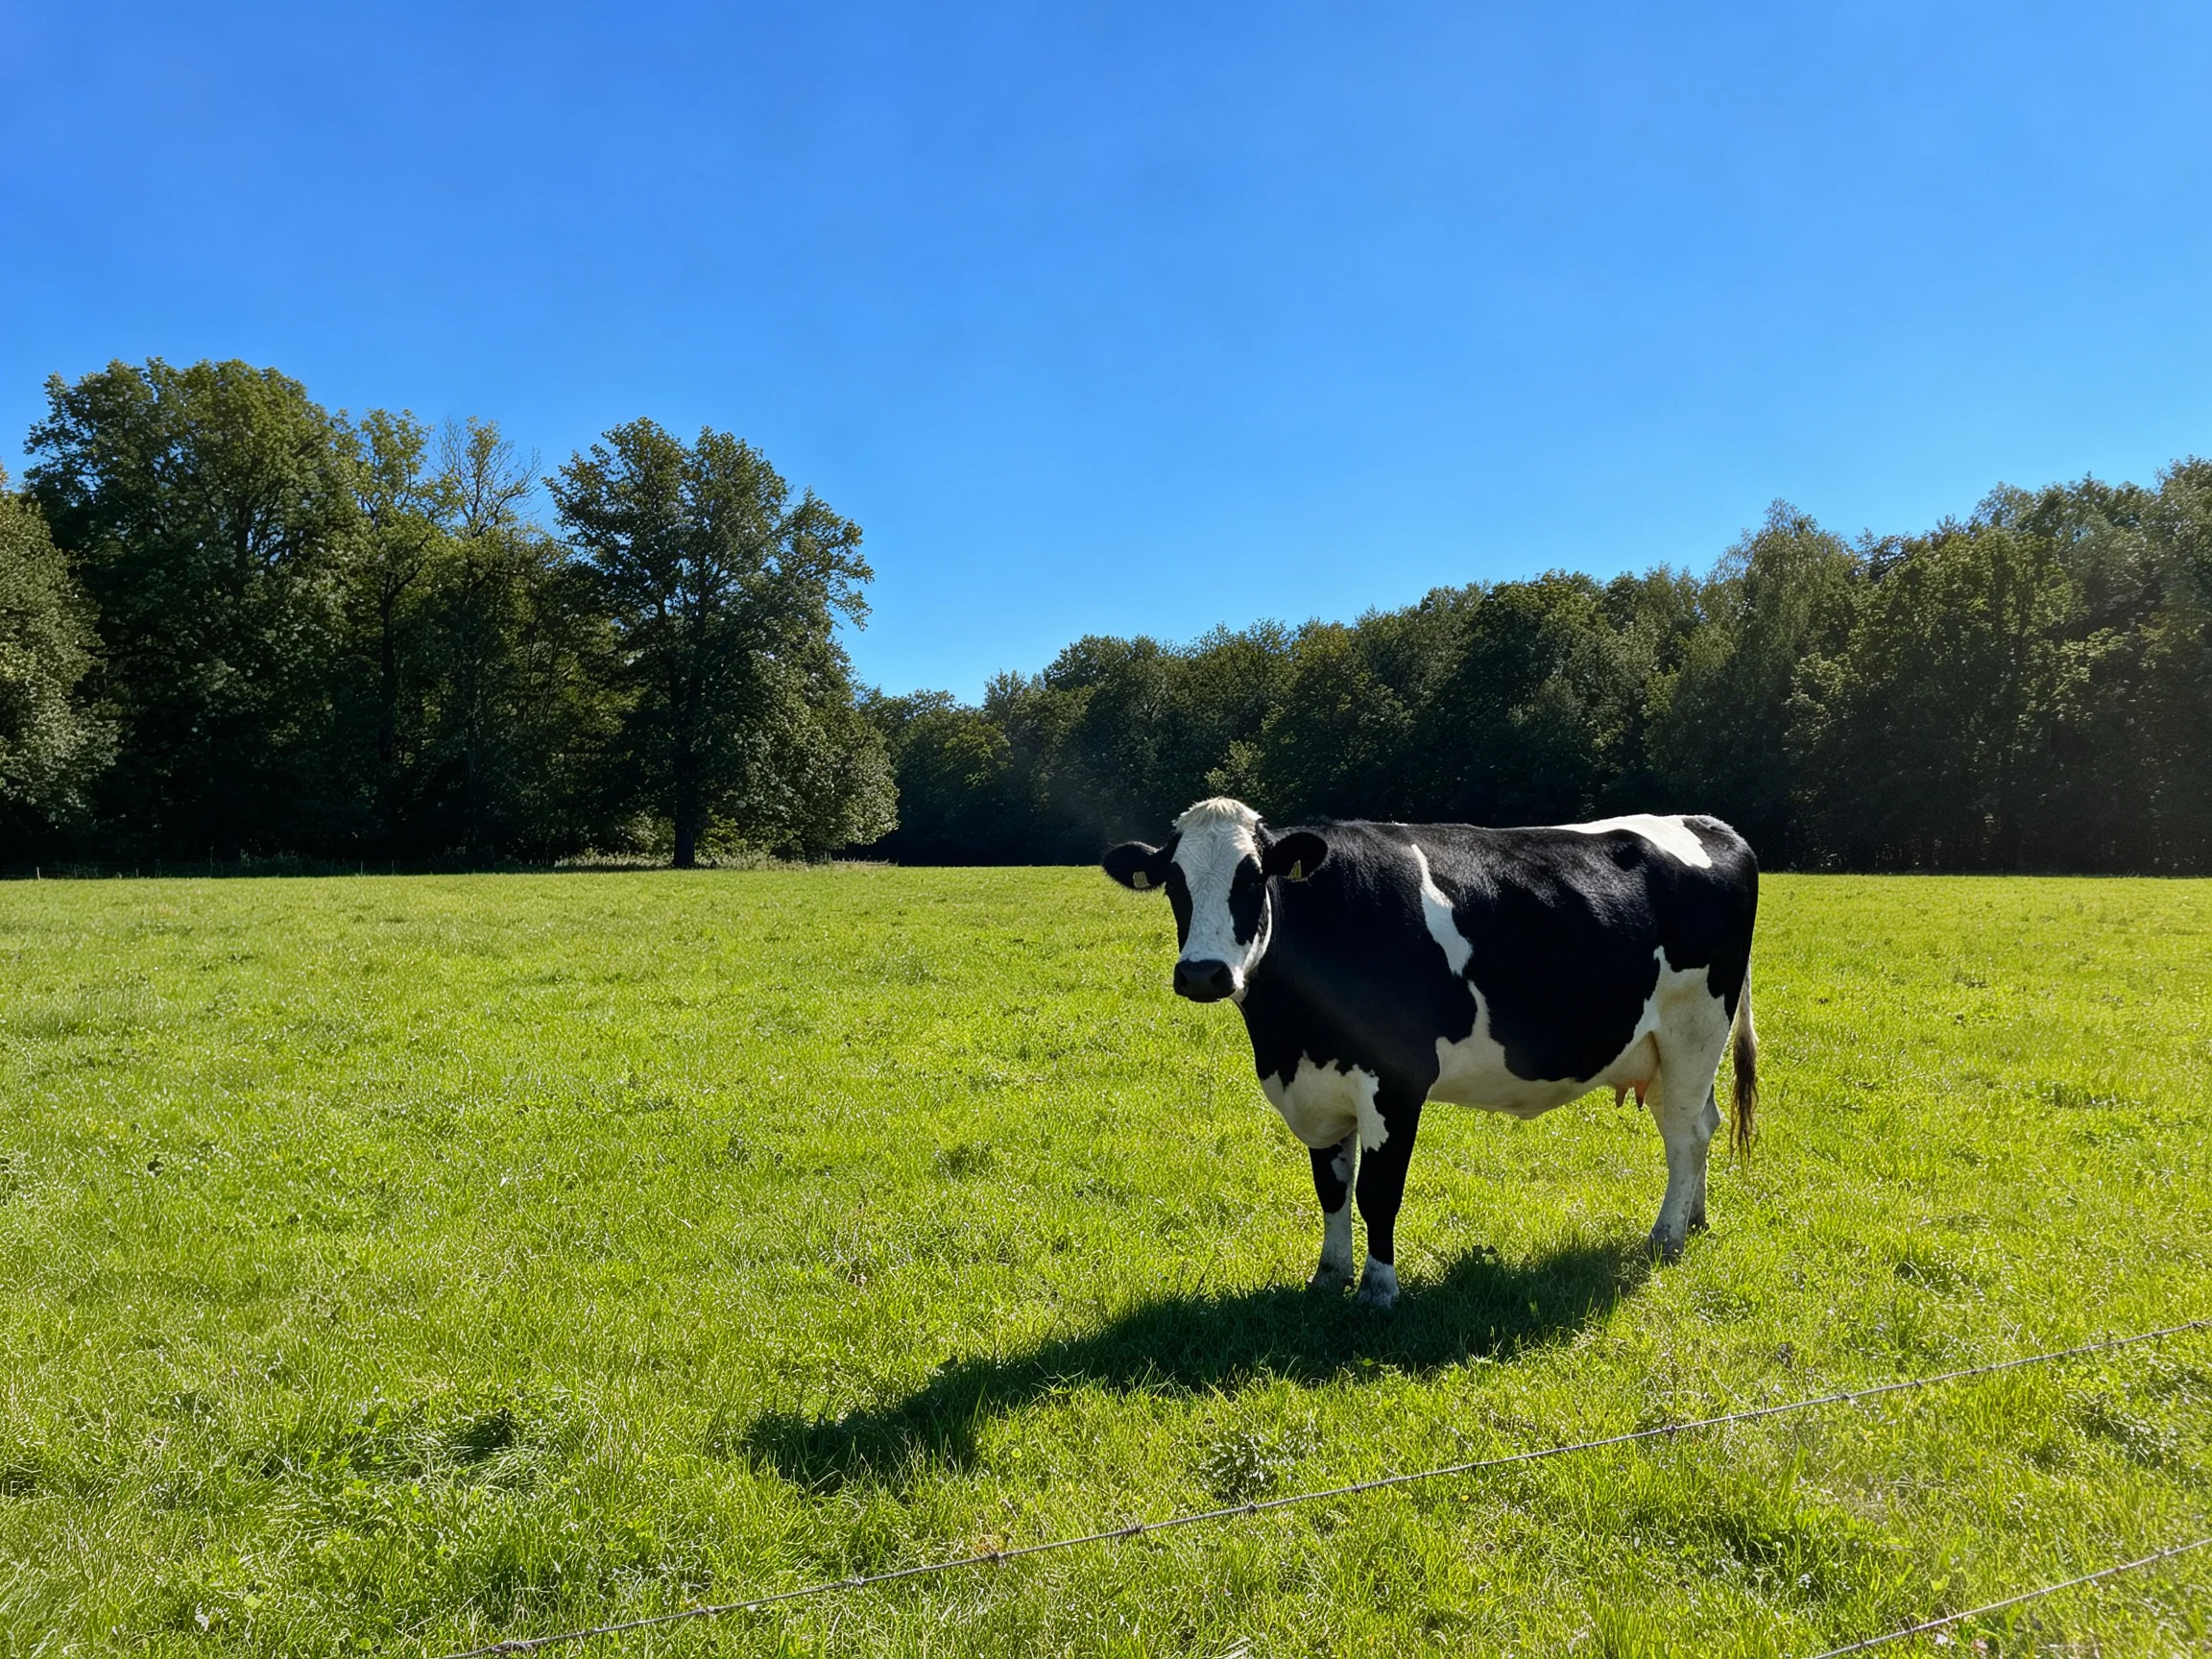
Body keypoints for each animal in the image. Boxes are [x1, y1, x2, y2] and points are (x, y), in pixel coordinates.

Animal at [1103, 797, 1758, 1309]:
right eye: (1174, 884)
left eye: (1253, 878)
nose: (1203, 974)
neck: (1288, 1035)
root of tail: (1709, 823)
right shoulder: (1318, 1084)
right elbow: (1332, 1187)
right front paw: (1328, 1276)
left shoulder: (1394, 1081)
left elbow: (1377, 1191)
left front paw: (1379, 1289)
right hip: (1669, 1049)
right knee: (1702, 1123)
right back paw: (1695, 1219)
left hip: (1695, 1029)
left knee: (1684, 1136)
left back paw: (1667, 1238)